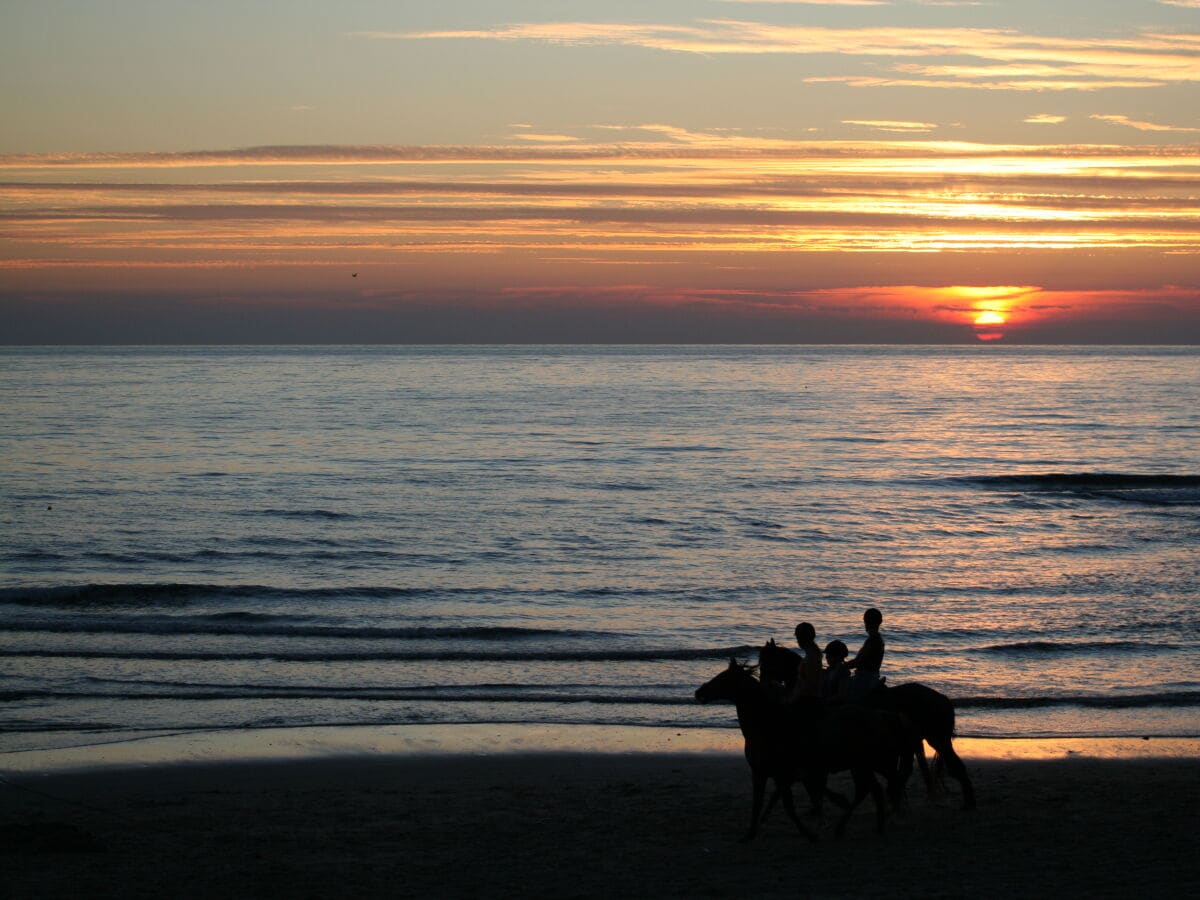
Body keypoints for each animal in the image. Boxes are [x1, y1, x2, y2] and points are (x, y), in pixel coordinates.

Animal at [696, 657, 902, 844]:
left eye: (723, 679)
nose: (699, 692)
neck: (767, 726)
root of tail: (878, 715)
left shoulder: (781, 774)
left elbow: (788, 806)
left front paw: (810, 834)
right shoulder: (761, 773)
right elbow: (758, 803)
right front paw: (750, 834)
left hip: (864, 764)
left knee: (872, 789)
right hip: (860, 765)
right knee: (871, 790)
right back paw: (867, 826)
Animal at [758, 643, 974, 811]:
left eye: (767, 661)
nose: (762, 683)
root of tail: (942, 699)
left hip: (936, 739)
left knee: (954, 767)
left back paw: (966, 803)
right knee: (912, 770)